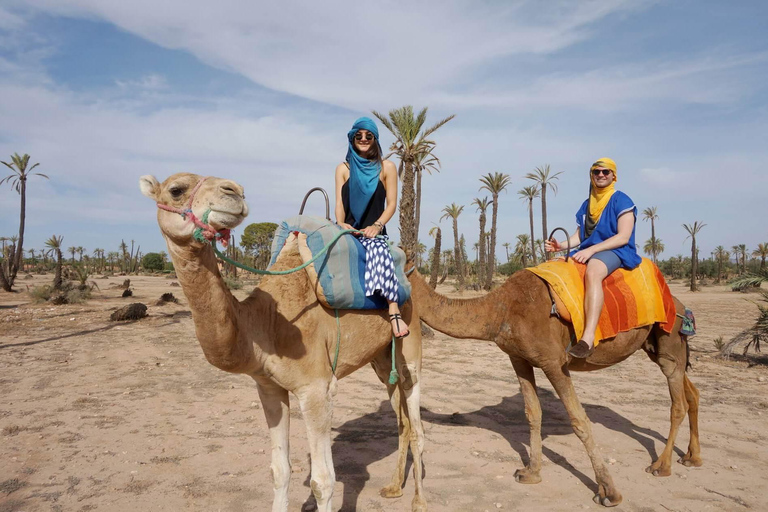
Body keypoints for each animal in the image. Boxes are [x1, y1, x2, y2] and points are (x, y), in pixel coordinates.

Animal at [140, 173, 426, 512]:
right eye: (176, 190)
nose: (234, 191)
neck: (266, 324)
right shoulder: (268, 387)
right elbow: (279, 470)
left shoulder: (316, 388)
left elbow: (323, 481)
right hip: (381, 358)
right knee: (401, 417)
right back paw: (394, 488)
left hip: (410, 339)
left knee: (416, 417)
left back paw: (419, 501)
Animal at [408, 266, 704, 506]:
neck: (499, 309)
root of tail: (679, 303)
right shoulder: (518, 358)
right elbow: (533, 413)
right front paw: (530, 473)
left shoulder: (554, 361)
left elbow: (579, 420)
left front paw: (608, 492)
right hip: (654, 346)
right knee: (692, 392)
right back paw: (692, 457)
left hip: (669, 338)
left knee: (677, 400)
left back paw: (661, 466)